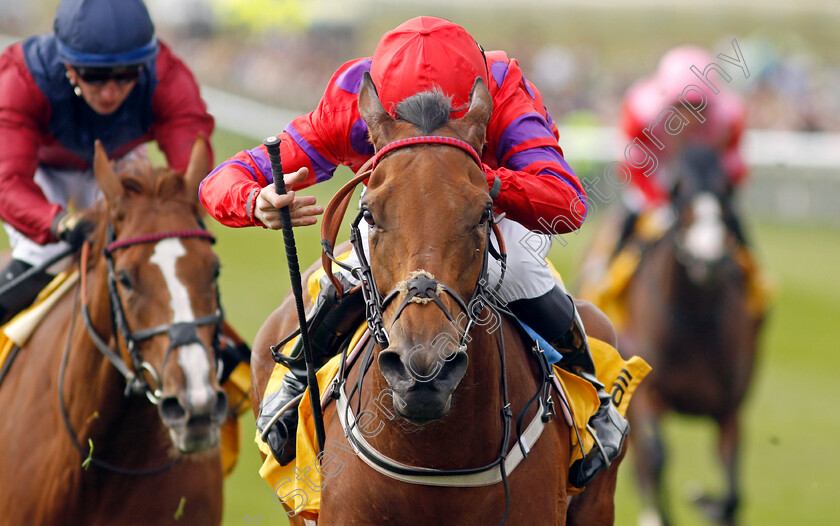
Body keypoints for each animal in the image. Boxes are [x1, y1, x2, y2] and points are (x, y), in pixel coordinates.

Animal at [249, 74, 624, 526]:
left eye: (484, 212)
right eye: (369, 213)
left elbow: (562, 191)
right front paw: (272, 202)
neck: (433, 457)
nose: (423, 368)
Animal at [612, 148, 760, 526]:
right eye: (682, 198)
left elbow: (733, 489)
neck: (694, 324)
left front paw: (706, 501)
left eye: (726, 199)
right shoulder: (647, 392)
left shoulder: (729, 408)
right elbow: (655, 455)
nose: (709, 262)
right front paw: (661, 514)